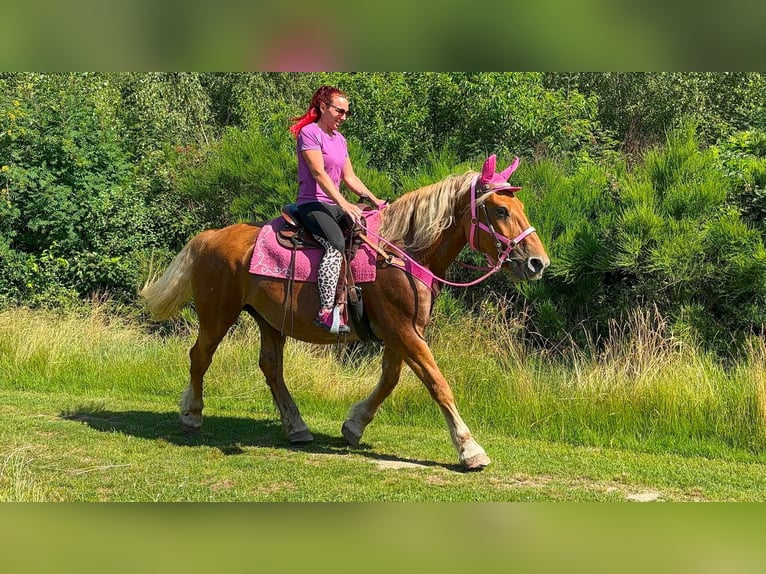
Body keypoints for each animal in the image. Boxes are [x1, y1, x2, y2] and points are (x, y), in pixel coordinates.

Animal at [139, 155, 550, 470]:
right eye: (500, 210)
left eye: (520, 208)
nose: (537, 262)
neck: (402, 255)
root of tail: (211, 236)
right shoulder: (404, 331)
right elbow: (437, 383)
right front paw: (469, 449)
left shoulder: (400, 333)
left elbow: (389, 380)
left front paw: (354, 425)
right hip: (217, 315)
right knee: (200, 356)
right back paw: (192, 414)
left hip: (268, 320)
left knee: (271, 367)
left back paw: (296, 426)